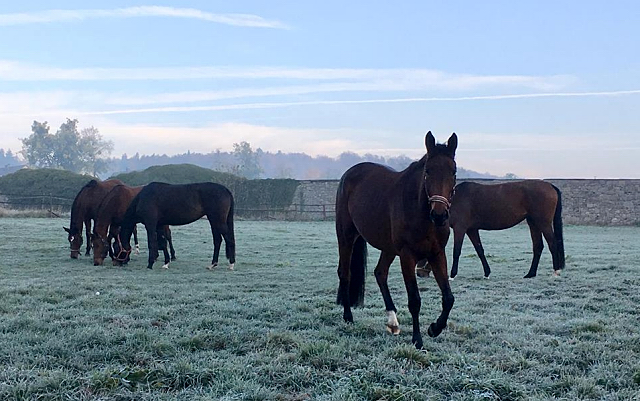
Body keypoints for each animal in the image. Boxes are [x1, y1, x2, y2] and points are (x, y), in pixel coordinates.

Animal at [336, 131, 460, 346]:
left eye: (453, 172)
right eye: (428, 171)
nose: (439, 215)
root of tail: (349, 175)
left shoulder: (437, 254)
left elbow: (448, 298)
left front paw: (435, 328)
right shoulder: (407, 256)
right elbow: (415, 300)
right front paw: (417, 339)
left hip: (388, 247)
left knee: (380, 273)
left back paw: (392, 322)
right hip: (346, 237)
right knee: (345, 274)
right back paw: (348, 317)